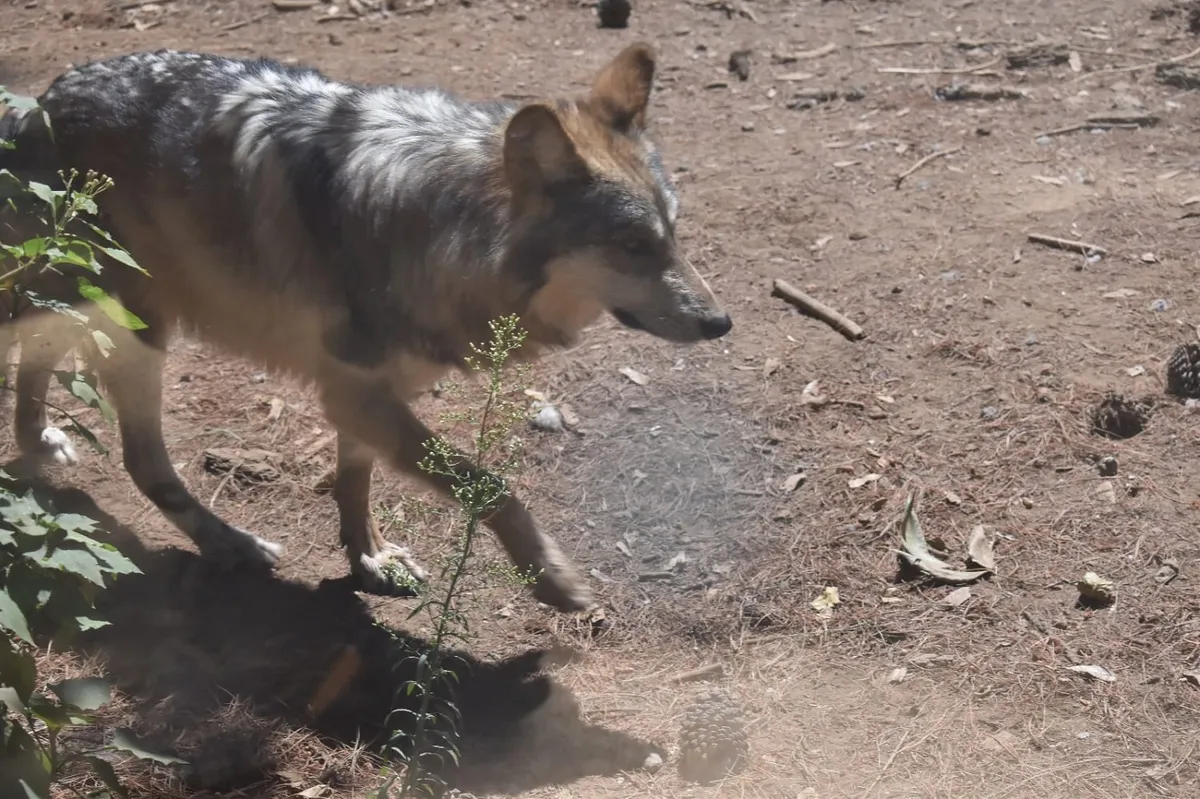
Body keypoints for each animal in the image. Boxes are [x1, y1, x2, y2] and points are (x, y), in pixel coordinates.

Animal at [0, 42, 732, 612]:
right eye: (632, 246)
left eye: (674, 234)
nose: (721, 322)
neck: (440, 225)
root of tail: (41, 102)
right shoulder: (354, 392)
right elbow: (492, 487)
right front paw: (551, 578)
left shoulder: (367, 392)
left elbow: (356, 482)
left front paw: (370, 559)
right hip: (137, 328)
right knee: (141, 458)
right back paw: (230, 542)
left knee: (37, 360)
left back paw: (37, 440)